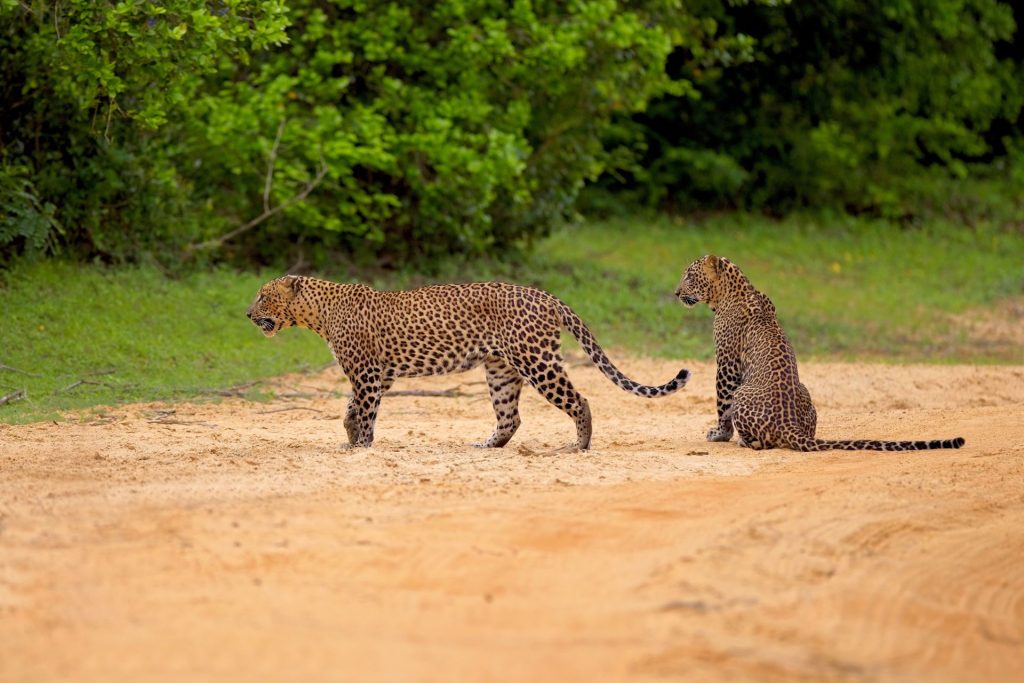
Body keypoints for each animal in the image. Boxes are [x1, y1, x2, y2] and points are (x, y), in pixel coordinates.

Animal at [244, 274, 692, 450]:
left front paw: (362, 446)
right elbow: (351, 409)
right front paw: (351, 437)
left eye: (264, 296)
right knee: (511, 417)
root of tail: (547, 295)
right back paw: (487, 445)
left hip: (537, 360)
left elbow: (366, 411)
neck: (318, 313)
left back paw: (578, 446)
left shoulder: (369, 373)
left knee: (579, 400)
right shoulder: (377, 376)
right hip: (501, 370)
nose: (247, 314)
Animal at [675, 253, 962, 450]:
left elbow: (721, 404)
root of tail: (790, 426)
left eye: (689, 276)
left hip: (742, 394)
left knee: (760, 440)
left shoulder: (727, 363)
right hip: (806, 392)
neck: (735, 290)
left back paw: (744, 442)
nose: (676, 292)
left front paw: (719, 435)